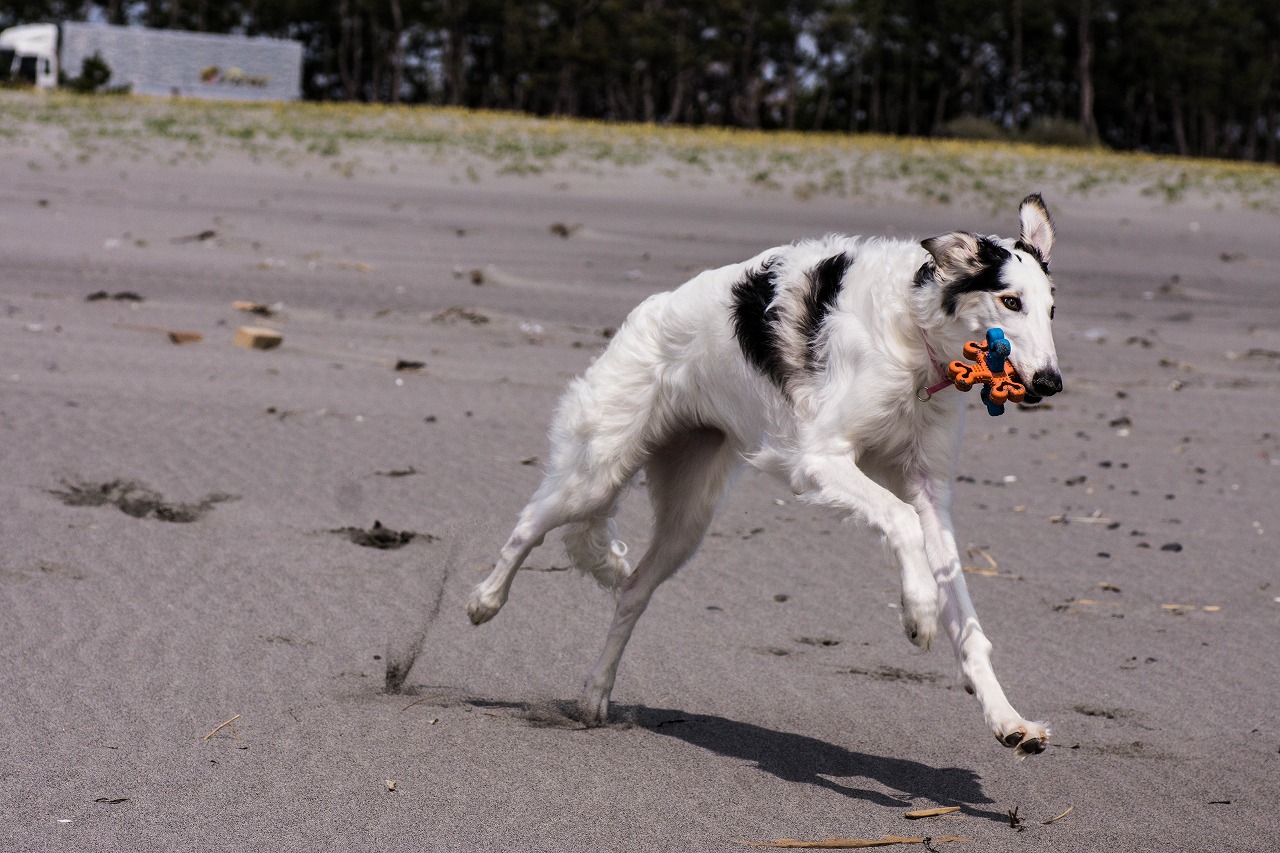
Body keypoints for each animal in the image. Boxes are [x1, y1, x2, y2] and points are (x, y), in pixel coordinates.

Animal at [471, 190, 1059, 753]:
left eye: (1052, 309)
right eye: (1010, 301)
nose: (1050, 383)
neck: (913, 335)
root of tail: (650, 311)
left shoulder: (927, 488)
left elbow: (966, 618)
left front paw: (1008, 719)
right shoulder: (818, 459)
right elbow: (901, 523)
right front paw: (917, 612)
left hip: (688, 518)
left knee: (633, 589)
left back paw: (595, 694)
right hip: (598, 472)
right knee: (528, 523)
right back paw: (484, 601)